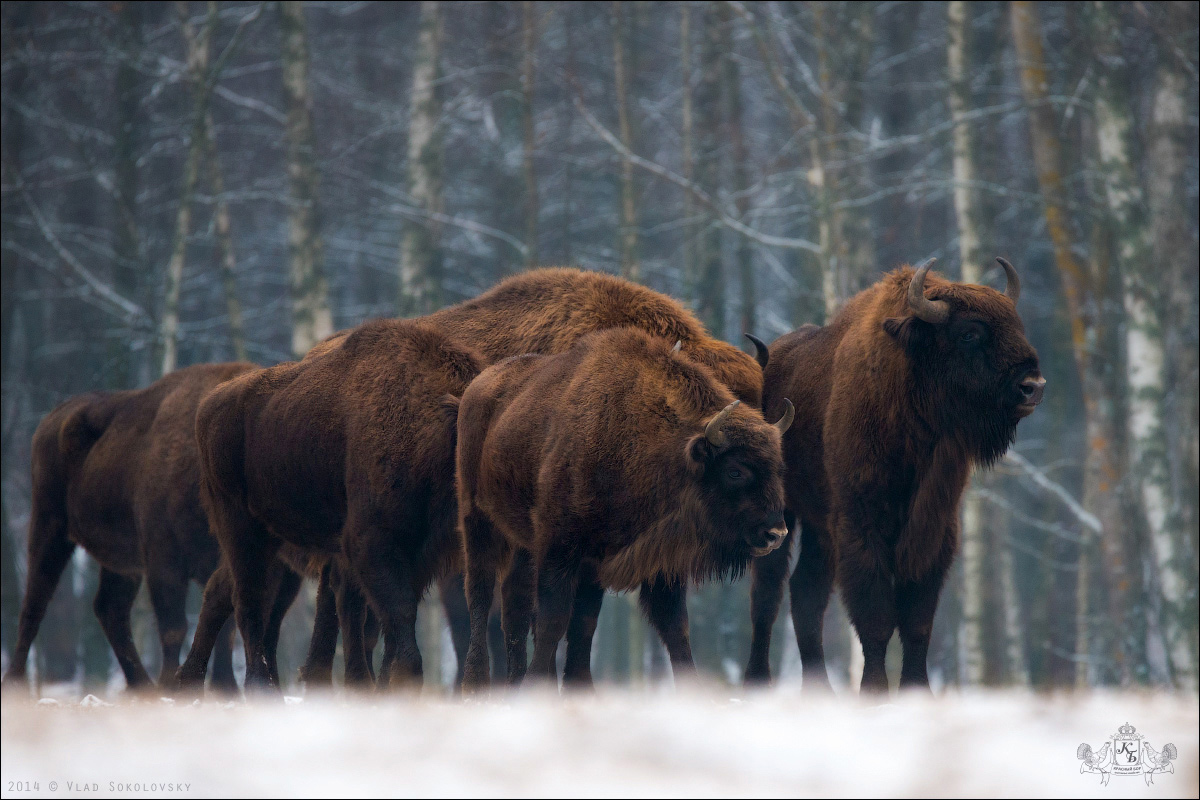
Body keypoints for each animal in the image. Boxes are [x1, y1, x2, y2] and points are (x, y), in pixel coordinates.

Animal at [3, 367, 256, 690]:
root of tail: (52, 419)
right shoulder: (163, 561)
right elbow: (175, 627)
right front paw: (170, 684)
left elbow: (224, 626)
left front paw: (226, 689)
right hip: (49, 527)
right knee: (34, 605)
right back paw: (15, 680)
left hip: (121, 561)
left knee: (109, 608)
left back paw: (142, 685)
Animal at [453, 328, 792, 690]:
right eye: (735, 471)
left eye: (778, 467)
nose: (776, 533)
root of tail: (477, 388)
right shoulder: (561, 548)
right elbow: (555, 618)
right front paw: (537, 684)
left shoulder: (644, 562)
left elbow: (657, 625)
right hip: (477, 519)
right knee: (480, 592)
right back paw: (475, 684)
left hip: (522, 541)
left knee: (514, 603)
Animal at [744, 260, 1046, 690]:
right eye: (969, 333)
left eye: (1016, 325)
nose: (1032, 386)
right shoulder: (861, 526)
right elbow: (877, 618)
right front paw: (874, 690)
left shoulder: (934, 530)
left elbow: (917, 621)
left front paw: (917, 690)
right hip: (780, 518)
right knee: (767, 595)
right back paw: (757, 681)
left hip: (820, 528)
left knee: (806, 595)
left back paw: (820, 690)